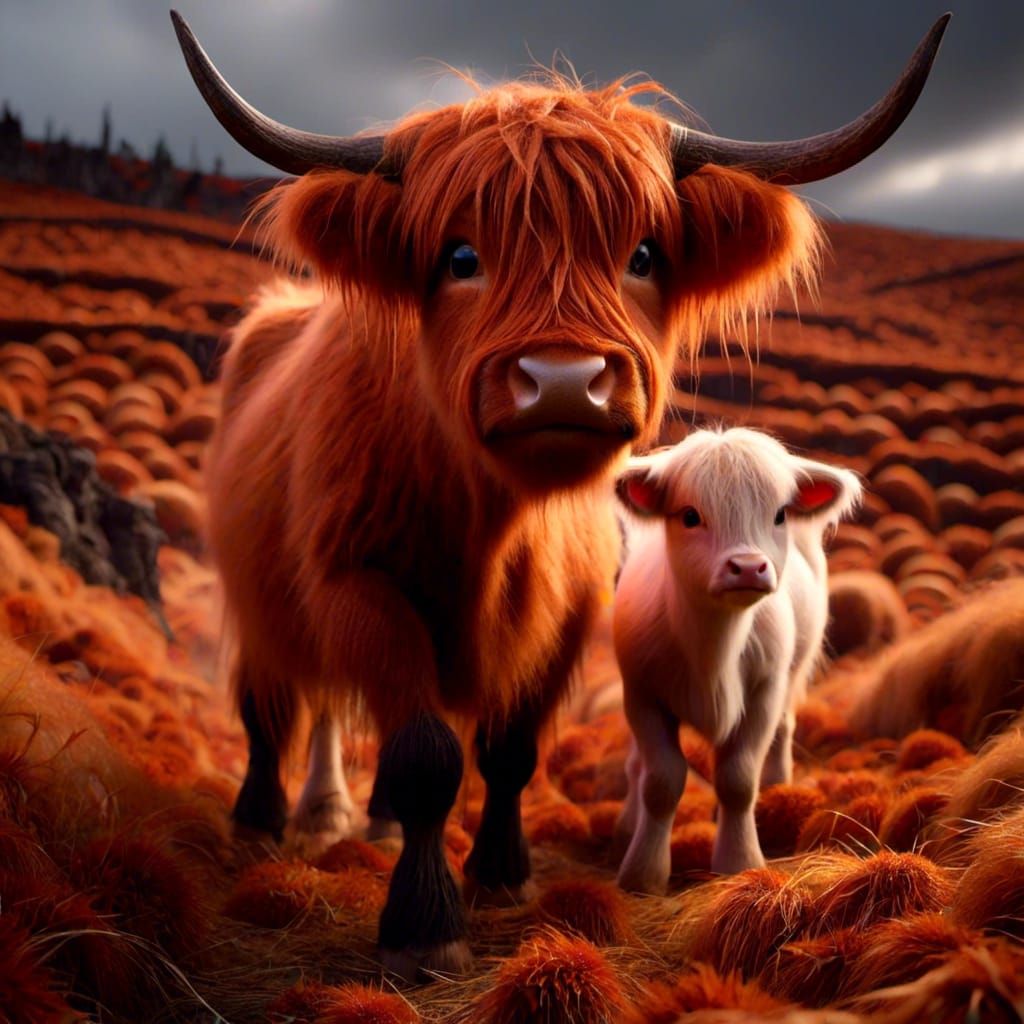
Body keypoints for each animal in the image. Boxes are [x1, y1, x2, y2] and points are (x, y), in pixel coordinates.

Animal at [613, 428, 862, 891]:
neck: (715, 649)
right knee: (637, 763)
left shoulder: (764, 690)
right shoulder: (641, 693)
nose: (747, 567)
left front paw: (738, 859)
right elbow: (660, 780)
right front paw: (643, 871)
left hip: (792, 672)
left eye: (779, 515)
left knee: (783, 730)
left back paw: (778, 789)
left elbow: (738, 779)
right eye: (690, 515)